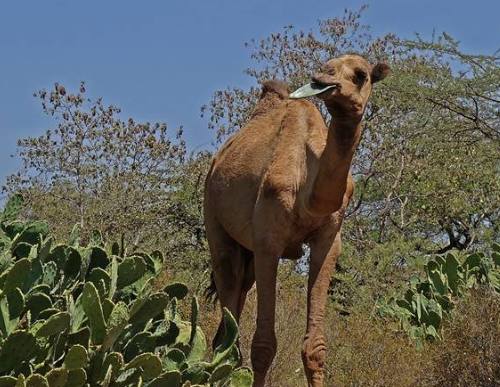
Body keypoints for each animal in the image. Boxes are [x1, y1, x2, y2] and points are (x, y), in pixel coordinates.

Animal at [204, 55, 390, 387]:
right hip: (215, 223)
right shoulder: (268, 242)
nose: (321, 80)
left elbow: (315, 346)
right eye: (327, 65)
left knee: (232, 311)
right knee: (227, 300)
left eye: (361, 75)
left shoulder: (328, 242)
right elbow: (264, 345)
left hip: (246, 255)